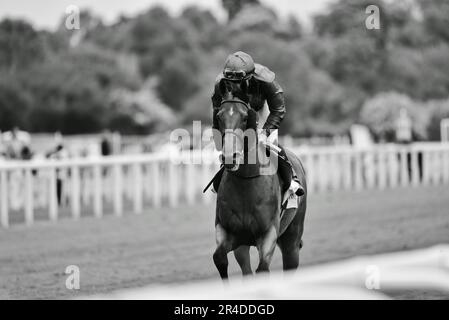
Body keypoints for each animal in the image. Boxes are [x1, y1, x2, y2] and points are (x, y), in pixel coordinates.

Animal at [212, 89, 306, 278]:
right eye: (219, 116)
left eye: (244, 117)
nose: (230, 156)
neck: (245, 180)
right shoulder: (229, 232)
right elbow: (219, 258)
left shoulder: (268, 233)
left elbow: (262, 269)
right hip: (242, 247)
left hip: (292, 240)